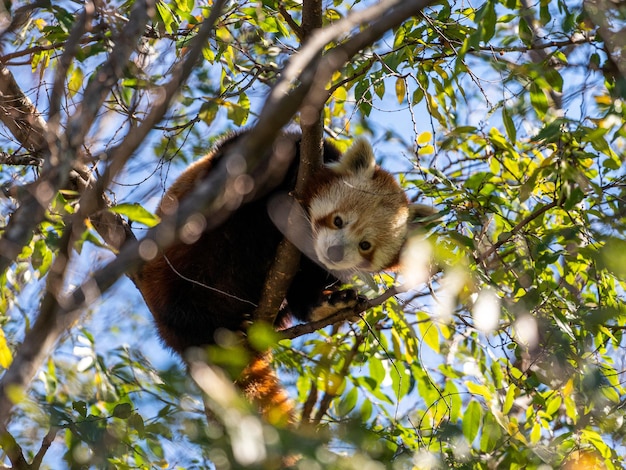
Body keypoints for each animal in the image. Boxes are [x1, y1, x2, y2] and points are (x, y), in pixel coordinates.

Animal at [136, 130, 428, 424]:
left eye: (365, 245)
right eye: (337, 220)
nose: (334, 253)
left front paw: (322, 299)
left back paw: (325, 305)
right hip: (180, 271)